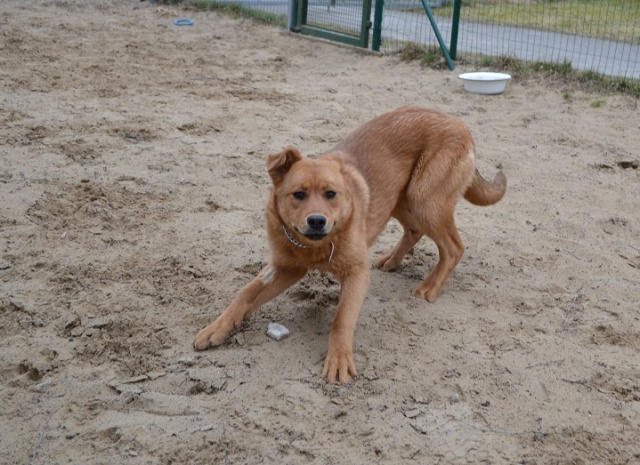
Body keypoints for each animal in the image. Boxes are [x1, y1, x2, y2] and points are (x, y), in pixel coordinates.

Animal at [193, 106, 506, 383]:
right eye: (298, 194)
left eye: (331, 194)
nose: (317, 221)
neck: (315, 246)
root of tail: (458, 122)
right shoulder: (286, 268)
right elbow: (244, 294)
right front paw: (217, 327)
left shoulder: (356, 274)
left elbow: (342, 318)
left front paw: (339, 360)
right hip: (401, 199)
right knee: (415, 231)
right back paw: (391, 260)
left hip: (423, 199)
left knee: (453, 247)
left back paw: (430, 286)